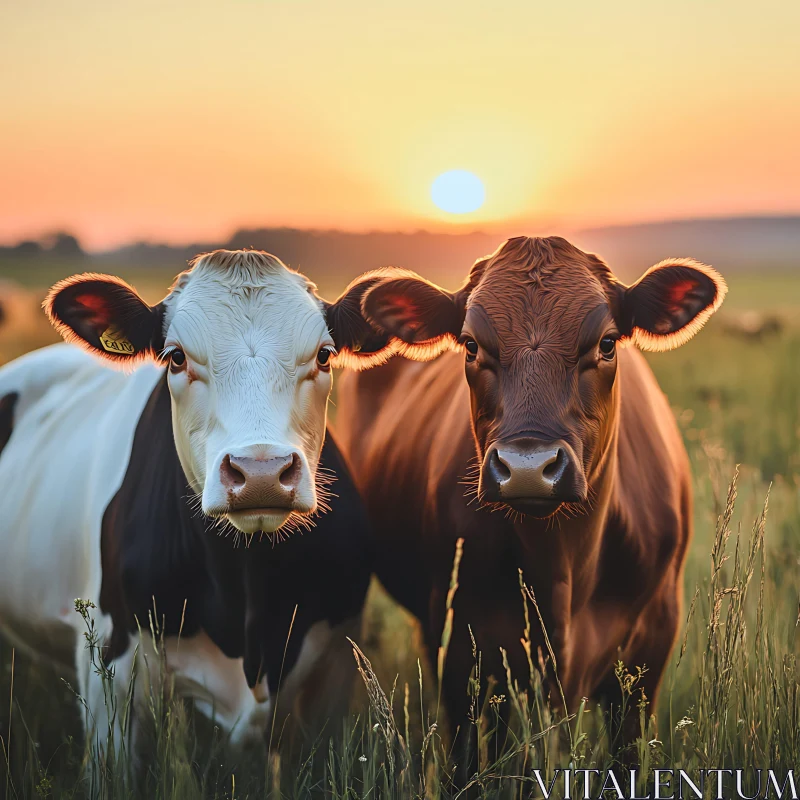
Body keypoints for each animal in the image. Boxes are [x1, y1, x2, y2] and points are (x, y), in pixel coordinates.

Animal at [334, 236, 728, 756]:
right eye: (471, 345)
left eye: (606, 343)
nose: (527, 467)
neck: (562, 566)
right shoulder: (461, 649)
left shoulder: (650, 650)